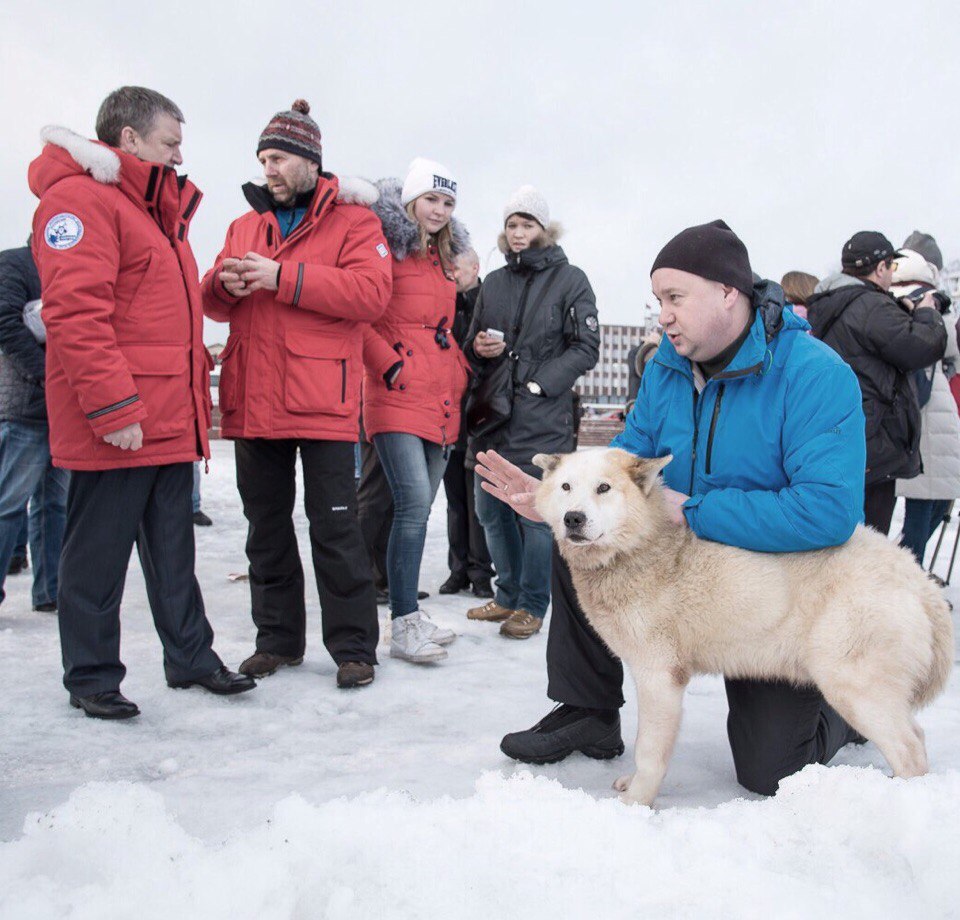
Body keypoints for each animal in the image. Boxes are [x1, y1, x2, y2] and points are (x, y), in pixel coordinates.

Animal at [532, 450, 952, 808]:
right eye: (566, 487)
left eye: (603, 488)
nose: (573, 518)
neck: (641, 545)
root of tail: (918, 579)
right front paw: (632, 786)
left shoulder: (660, 676)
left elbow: (649, 750)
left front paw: (636, 803)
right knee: (915, 736)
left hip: (851, 684)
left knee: (910, 750)